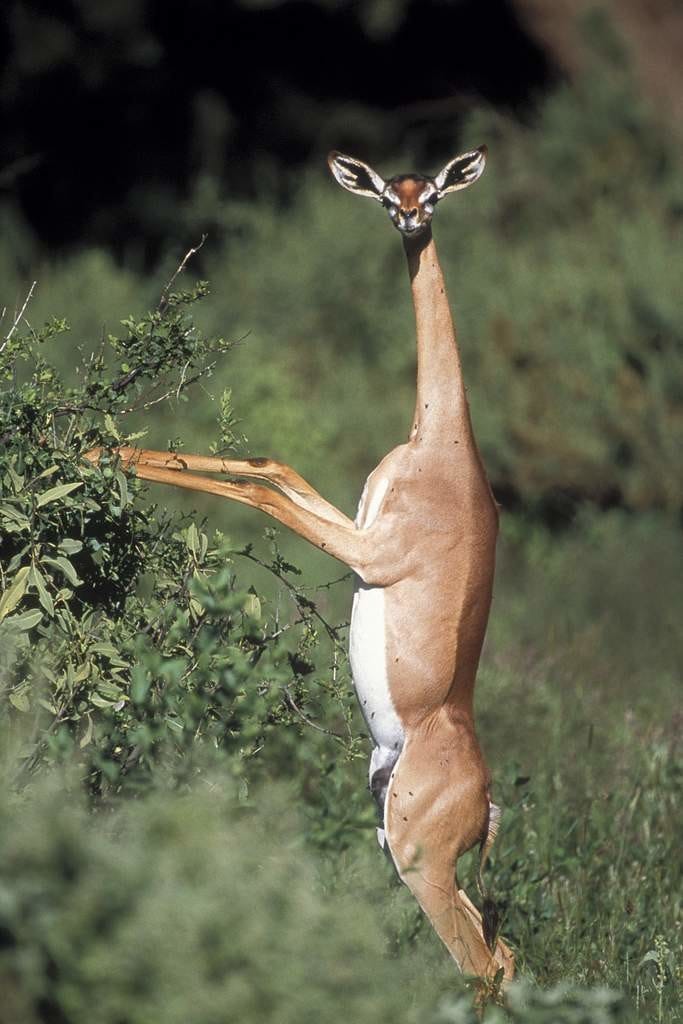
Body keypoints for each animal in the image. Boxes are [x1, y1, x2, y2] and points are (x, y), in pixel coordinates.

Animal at [84, 145, 514, 983]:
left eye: (434, 189)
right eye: (386, 187)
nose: (407, 216)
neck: (443, 444)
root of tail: (485, 799)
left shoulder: (370, 553)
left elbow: (259, 495)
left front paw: (97, 452)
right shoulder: (354, 522)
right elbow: (270, 464)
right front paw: (94, 447)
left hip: (419, 862)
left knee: (481, 965)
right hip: (398, 848)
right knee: (503, 953)